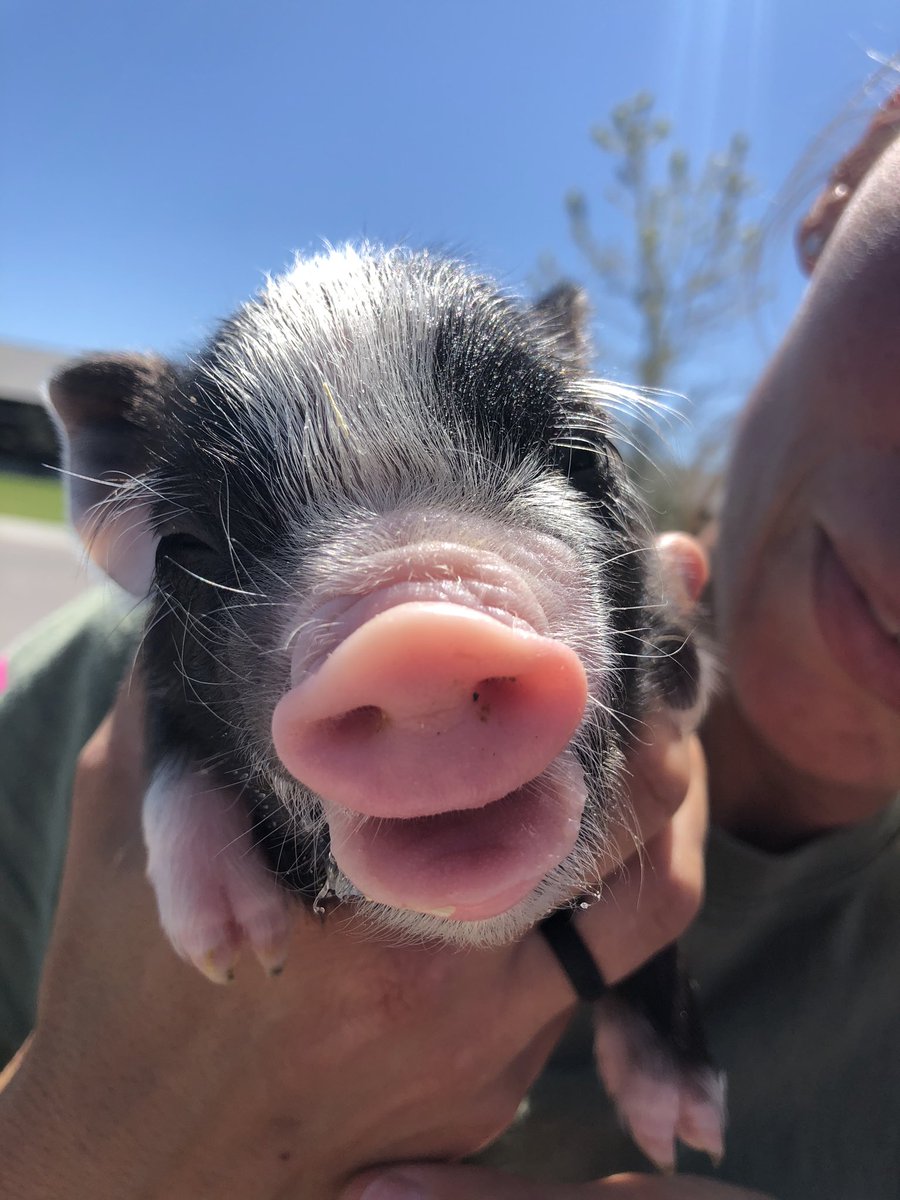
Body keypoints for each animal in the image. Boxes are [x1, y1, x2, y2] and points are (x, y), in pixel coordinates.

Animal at [49, 245, 724, 1168]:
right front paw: (236, 952)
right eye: (187, 544)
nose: (416, 632)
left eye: (581, 456)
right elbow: (168, 734)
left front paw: (693, 1137)